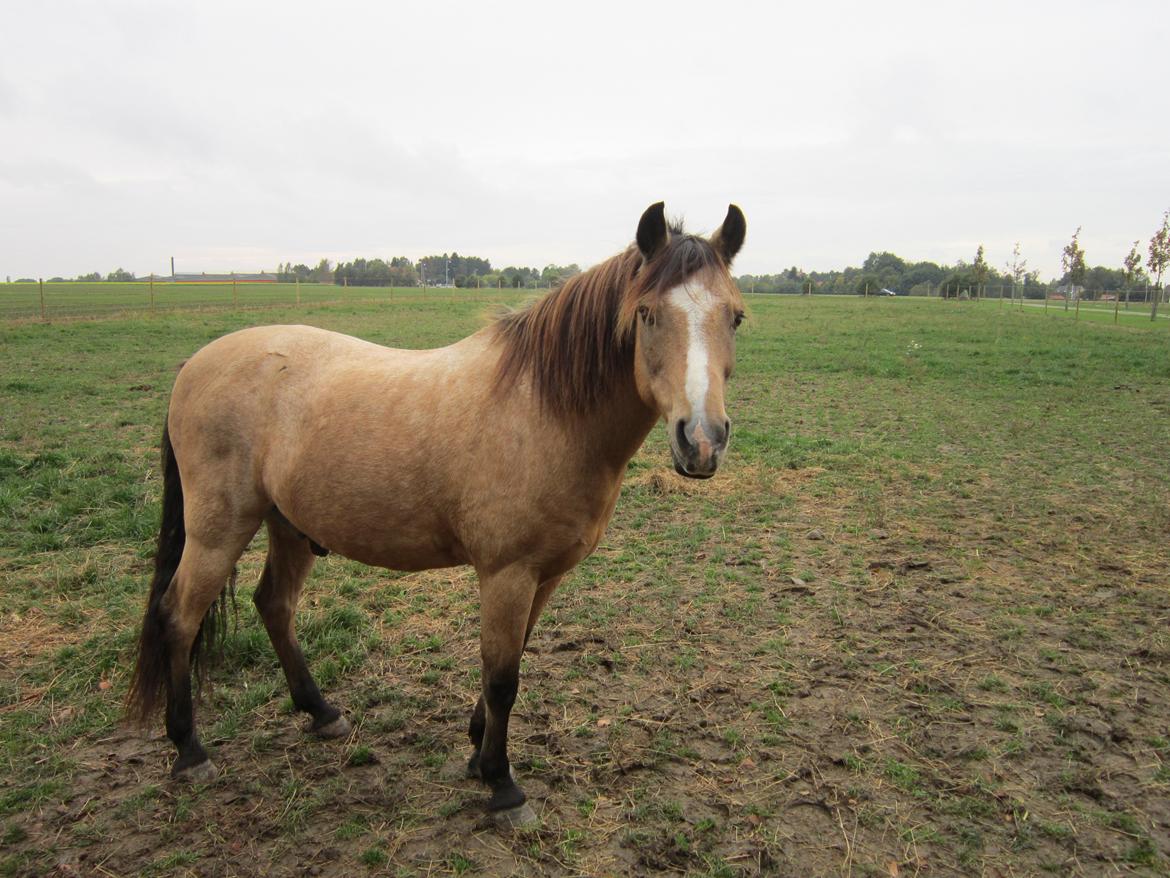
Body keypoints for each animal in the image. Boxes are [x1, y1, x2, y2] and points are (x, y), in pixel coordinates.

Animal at [128, 199, 744, 824]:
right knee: (178, 616)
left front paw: (476, 750)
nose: (701, 441)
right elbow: (502, 678)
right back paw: (190, 750)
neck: (545, 409)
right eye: (646, 314)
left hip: (289, 526)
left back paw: (321, 713)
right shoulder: (507, 574)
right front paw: (501, 783)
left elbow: (509, 662)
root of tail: (195, 364)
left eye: (736, 317)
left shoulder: (545, 575)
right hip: (218, 529)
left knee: (273, 605)